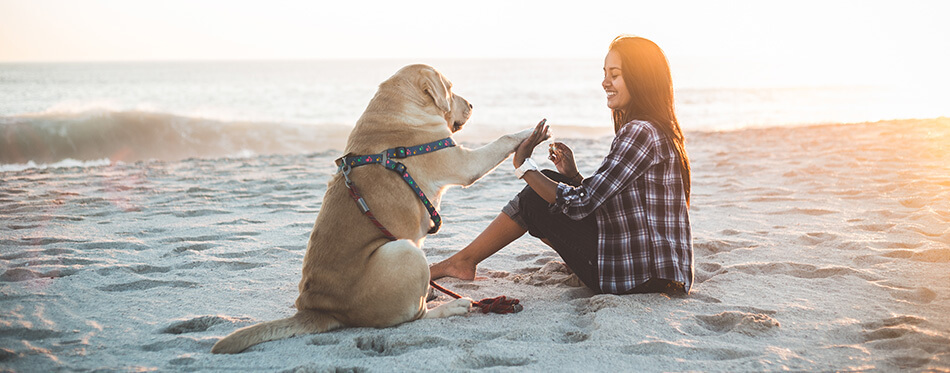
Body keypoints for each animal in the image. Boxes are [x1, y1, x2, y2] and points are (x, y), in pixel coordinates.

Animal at [211, 64, 532, 354]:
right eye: (450, 89)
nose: (472, 105)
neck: (398, 108)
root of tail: (320, 310)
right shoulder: (464, 163)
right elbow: (504, 138)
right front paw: (530, 130)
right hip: (406, 251)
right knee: (415, 317)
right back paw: (452, 306)